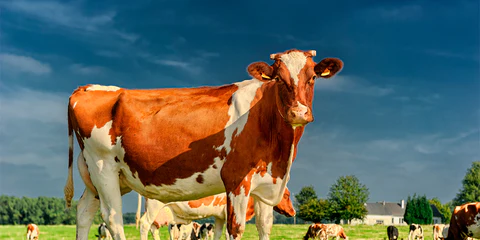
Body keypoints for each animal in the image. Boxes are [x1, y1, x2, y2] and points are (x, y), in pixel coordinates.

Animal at [137, 188, 296, 240]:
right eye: (287, 195)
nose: (293, 212)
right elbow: (228, 233)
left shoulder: (220, 216)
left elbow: (219, 233)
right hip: (153, 207)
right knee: (144, 224)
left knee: (153, 229)